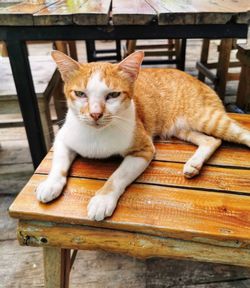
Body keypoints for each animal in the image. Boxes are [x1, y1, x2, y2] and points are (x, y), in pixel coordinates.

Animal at [36, 50, 250, 220]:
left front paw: (103, 199)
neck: (97, 135)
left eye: (113, 95)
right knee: (212, 140)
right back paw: (194, 164)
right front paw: (51, 184)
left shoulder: (144, 150)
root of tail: (198, 80)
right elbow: (58, 163)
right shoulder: (62, 139)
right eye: (80, 94)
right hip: (182, 128)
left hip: (206, 118)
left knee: (238, 133)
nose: (95, 114)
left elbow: (117, 176)